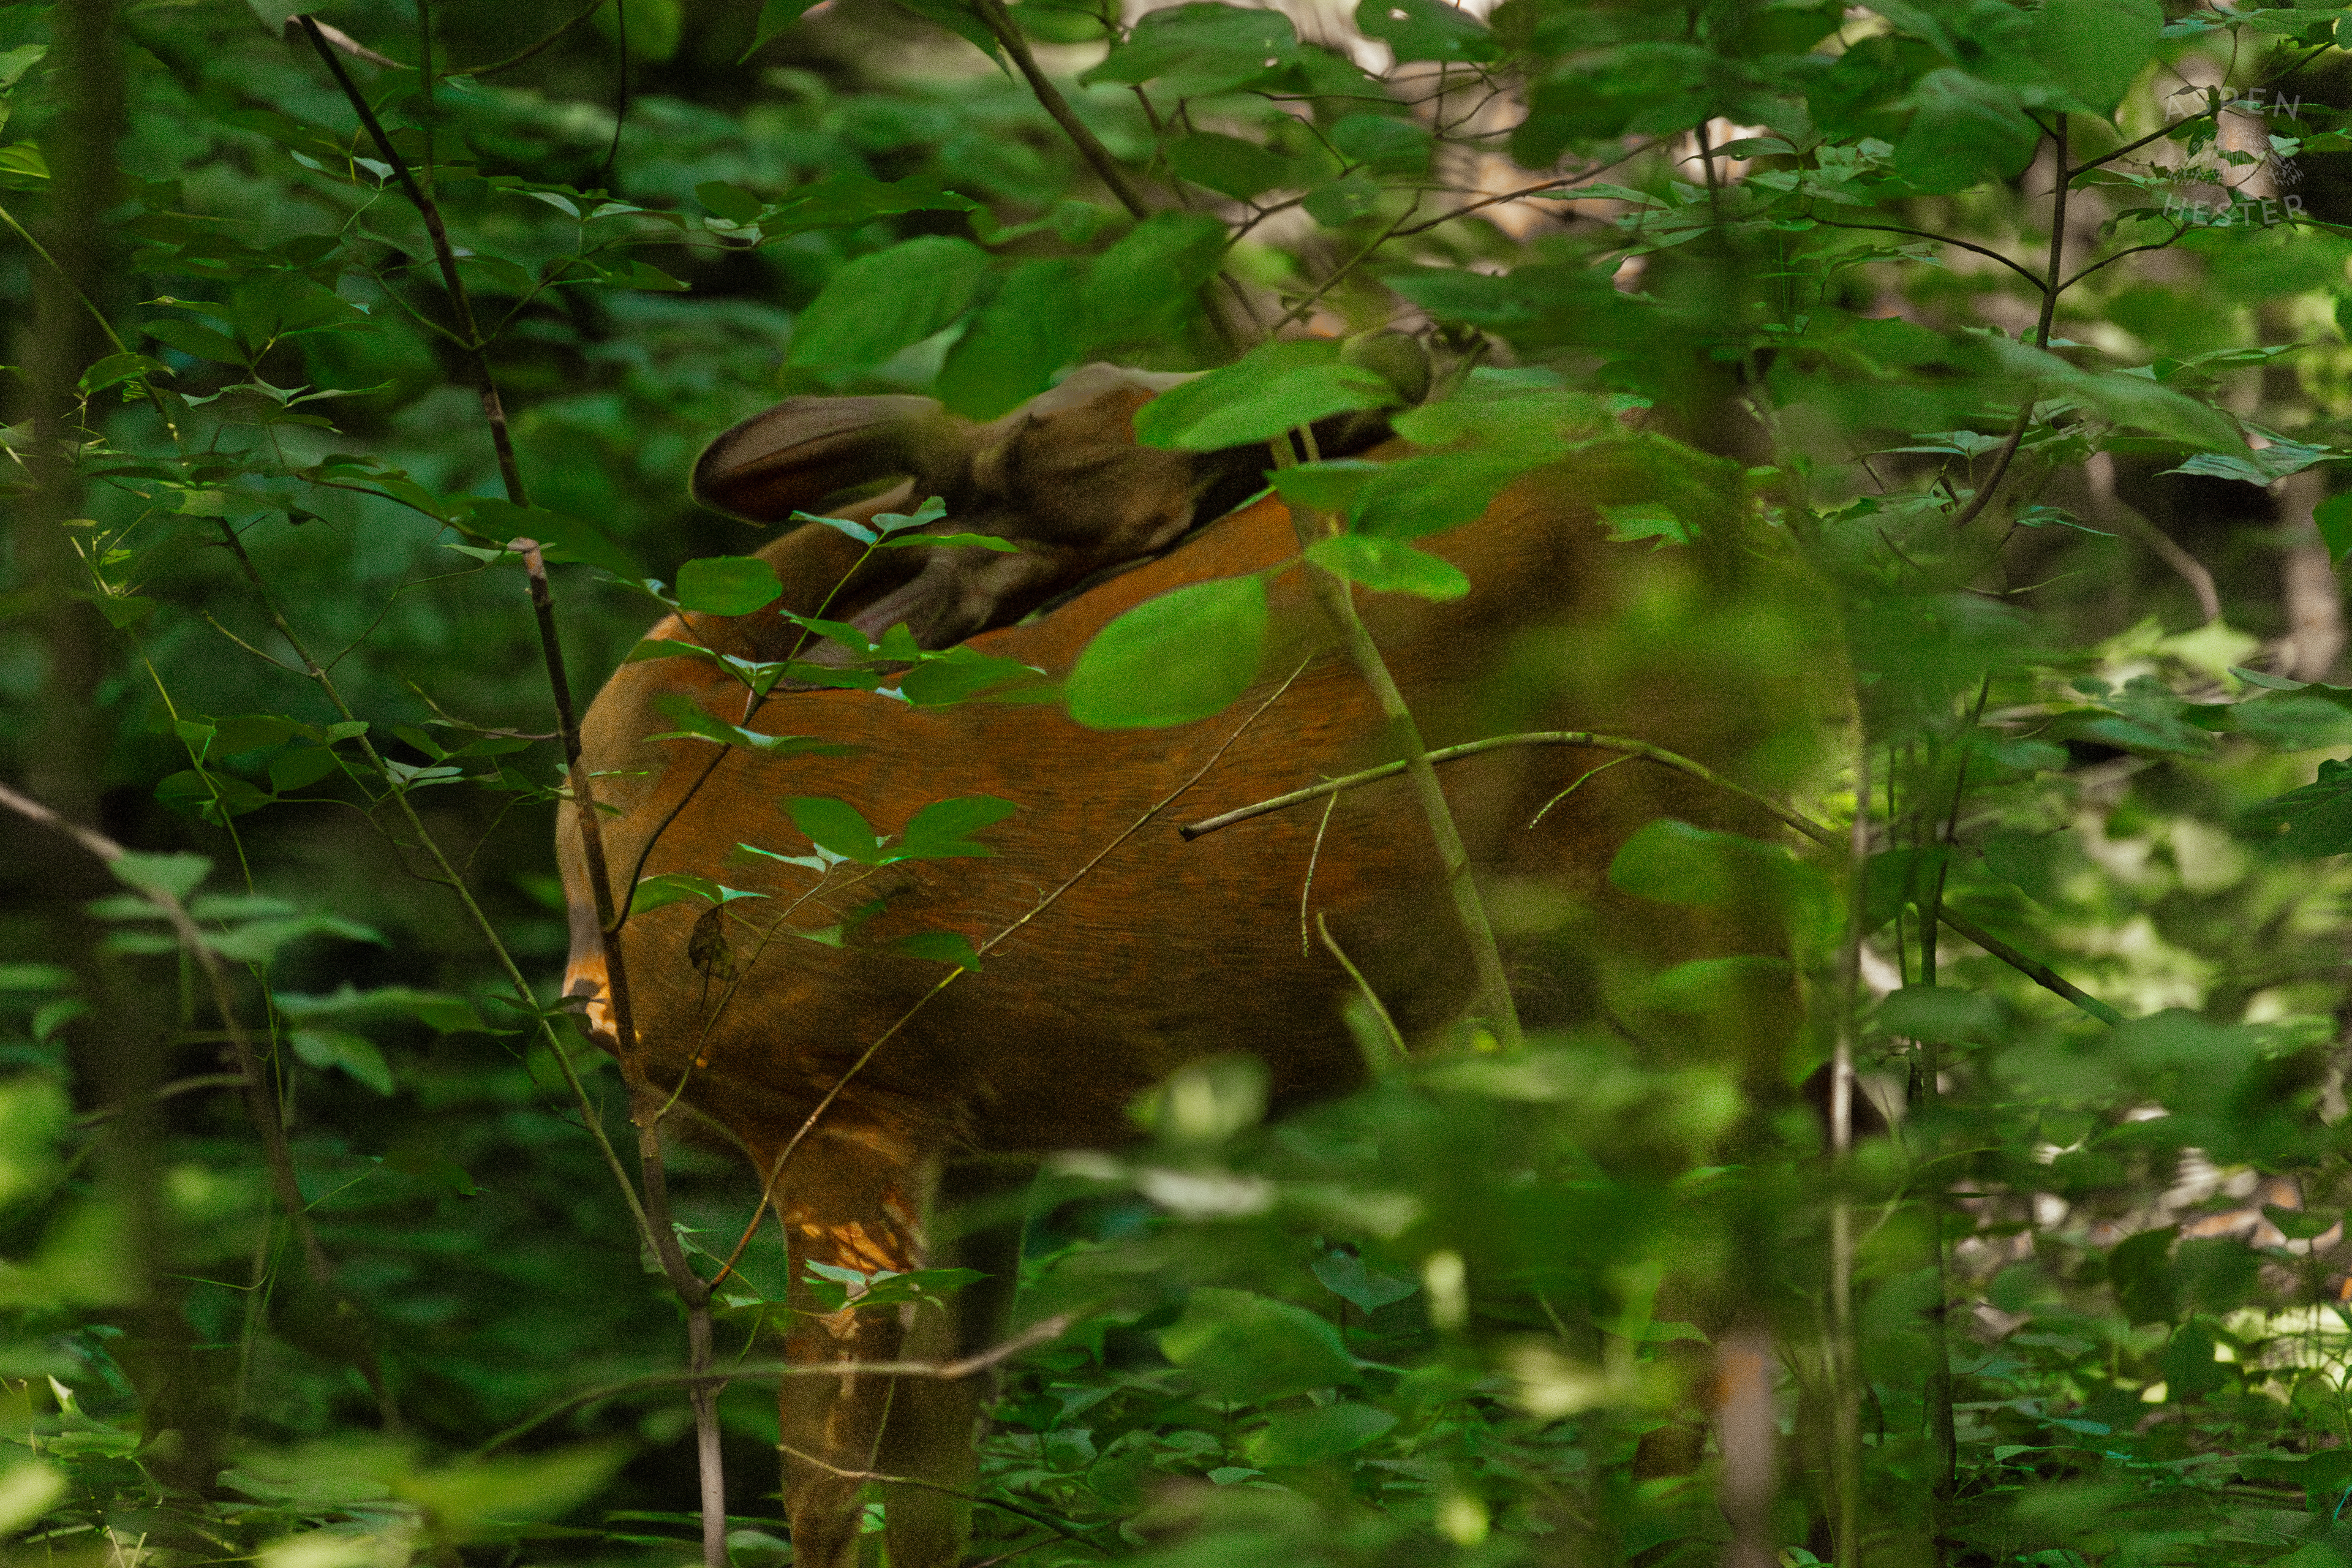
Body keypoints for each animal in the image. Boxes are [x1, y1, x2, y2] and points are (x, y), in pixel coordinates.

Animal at [553, 361, 1801, 1568]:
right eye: (1105, 425)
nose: (1406, 344)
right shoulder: (965, 1144)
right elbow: (926, 1492)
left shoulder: (836, 1100)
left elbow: (823, 1495)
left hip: (1676, 908)